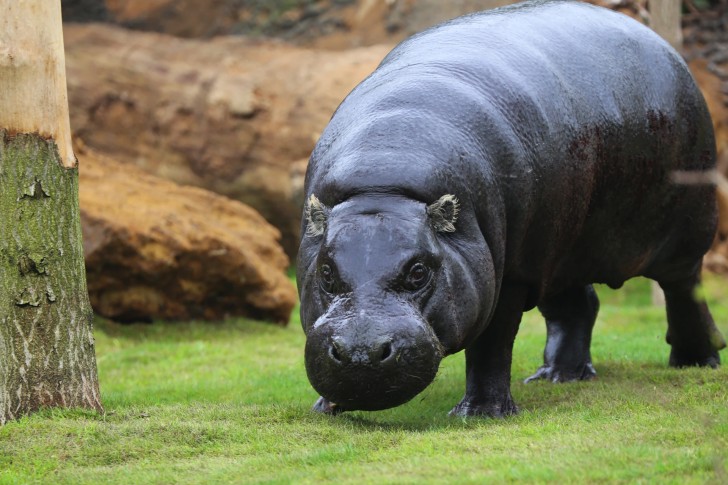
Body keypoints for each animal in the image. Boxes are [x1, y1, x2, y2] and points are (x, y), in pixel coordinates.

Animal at [297, 0, 726, 417]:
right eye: (326, 272)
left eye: (419, 272)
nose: (361, 352)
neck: (385, 177)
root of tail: (665, 46)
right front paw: (326, 409)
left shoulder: (511, 277)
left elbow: (492, 345)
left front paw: (480, 414)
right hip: (559, 249)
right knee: (577, 306)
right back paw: (556, 376)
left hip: (681, 234)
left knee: (685, 291)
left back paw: (695, 362)